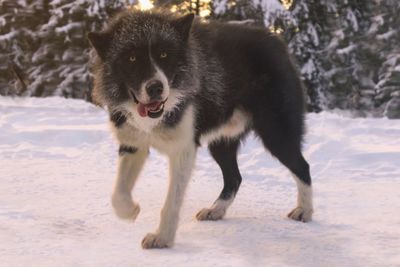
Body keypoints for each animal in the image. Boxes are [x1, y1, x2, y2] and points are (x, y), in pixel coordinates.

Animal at [87, 9, 312, 250]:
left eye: (164, 55)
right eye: (131, 58)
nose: (156, 87)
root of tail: (275, 40)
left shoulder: (183, 149)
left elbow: (172, 202)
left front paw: (162, 238)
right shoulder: (132, 143)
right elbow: (118, 194)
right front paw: (130, 211)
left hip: (276, 133)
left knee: (302, 166)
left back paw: (304, 211)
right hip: (221, 143)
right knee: (234, 177)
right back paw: (216, 210)